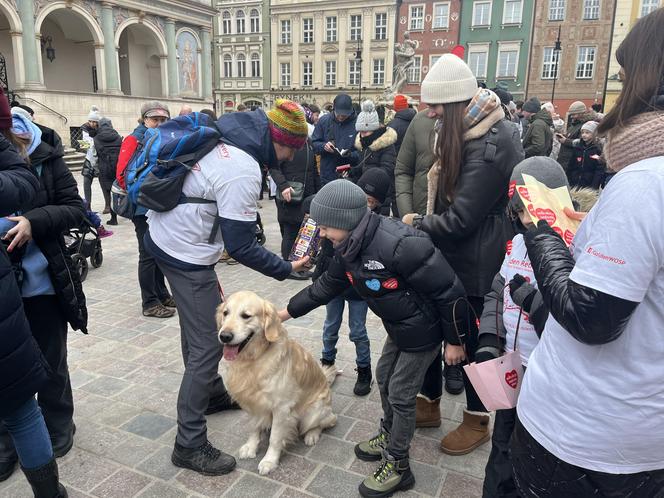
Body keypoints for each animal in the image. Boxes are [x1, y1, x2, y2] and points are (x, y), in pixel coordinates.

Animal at [218, 292, 338, 474]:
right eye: (225, 313)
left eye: (246, 316)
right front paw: (251, 446)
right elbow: (254, 426)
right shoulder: (251, 401)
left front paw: (269, 461)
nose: (224, 336)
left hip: (314, 411)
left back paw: (312, 435)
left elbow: (275, 438)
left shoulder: (281, 407)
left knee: (325, 422)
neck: (253, 358)